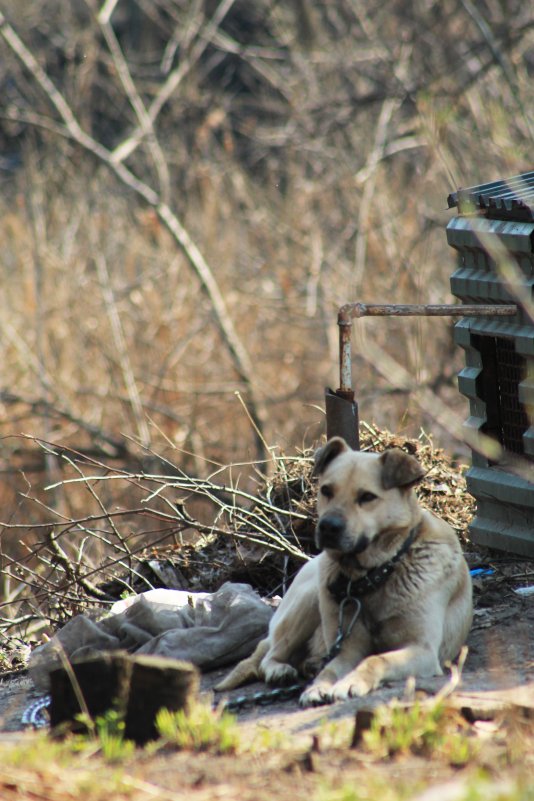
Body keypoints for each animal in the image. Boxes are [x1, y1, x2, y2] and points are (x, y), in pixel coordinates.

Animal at [218, 438, 474, 708]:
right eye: (326, 490)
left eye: (367, 497)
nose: (328, 527)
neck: (375, 574)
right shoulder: (348, 649)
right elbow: (331, 669)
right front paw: (318, 687)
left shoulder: (422, 649)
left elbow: (375, 659)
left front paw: (350, 682)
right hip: (310, 597)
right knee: (270, 654)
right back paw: (281, 669)